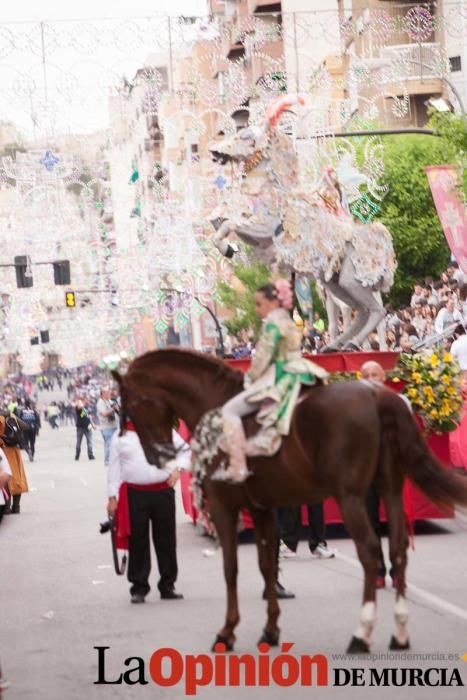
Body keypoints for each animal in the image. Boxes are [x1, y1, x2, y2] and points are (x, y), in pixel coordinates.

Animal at [112, 352, 467, 652]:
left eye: (129, 405)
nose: (156, 456)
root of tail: (376, 394)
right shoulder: (262, 509)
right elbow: (267, 566)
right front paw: (270, 630)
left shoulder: (224, 508)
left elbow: (231, 568)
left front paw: (227, 632)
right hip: (390, 490)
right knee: (397, 551)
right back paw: (399, 633)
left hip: (350, 497)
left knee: (369, 552)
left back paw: (361, 633)